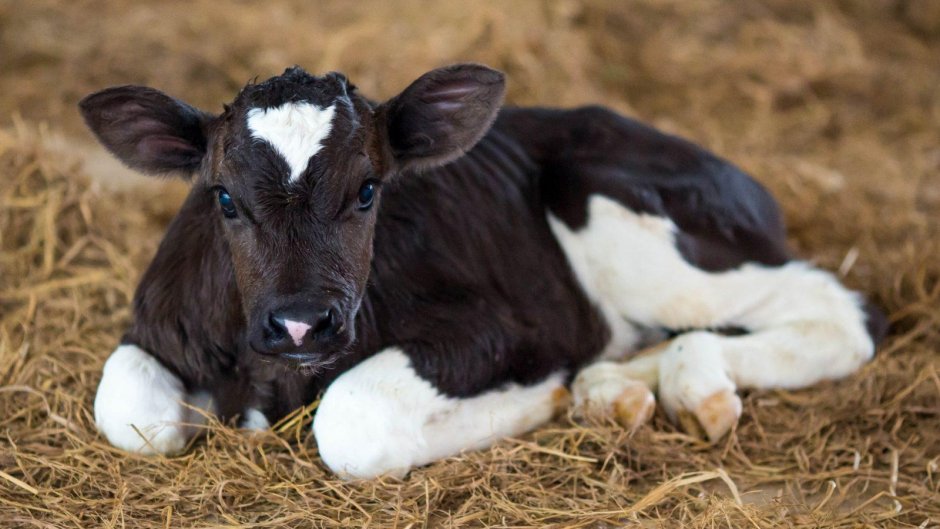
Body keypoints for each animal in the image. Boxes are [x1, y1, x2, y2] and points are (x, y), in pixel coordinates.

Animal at [80, 64, 886, 479]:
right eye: (223, 197)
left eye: (368, 189)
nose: (302, 322)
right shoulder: (159, 323)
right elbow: (128, 410)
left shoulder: (502, 327)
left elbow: (352, 417)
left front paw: (537, 400)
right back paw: (613, 391)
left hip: (621, 213)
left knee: (840, 310)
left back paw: (679, 385)